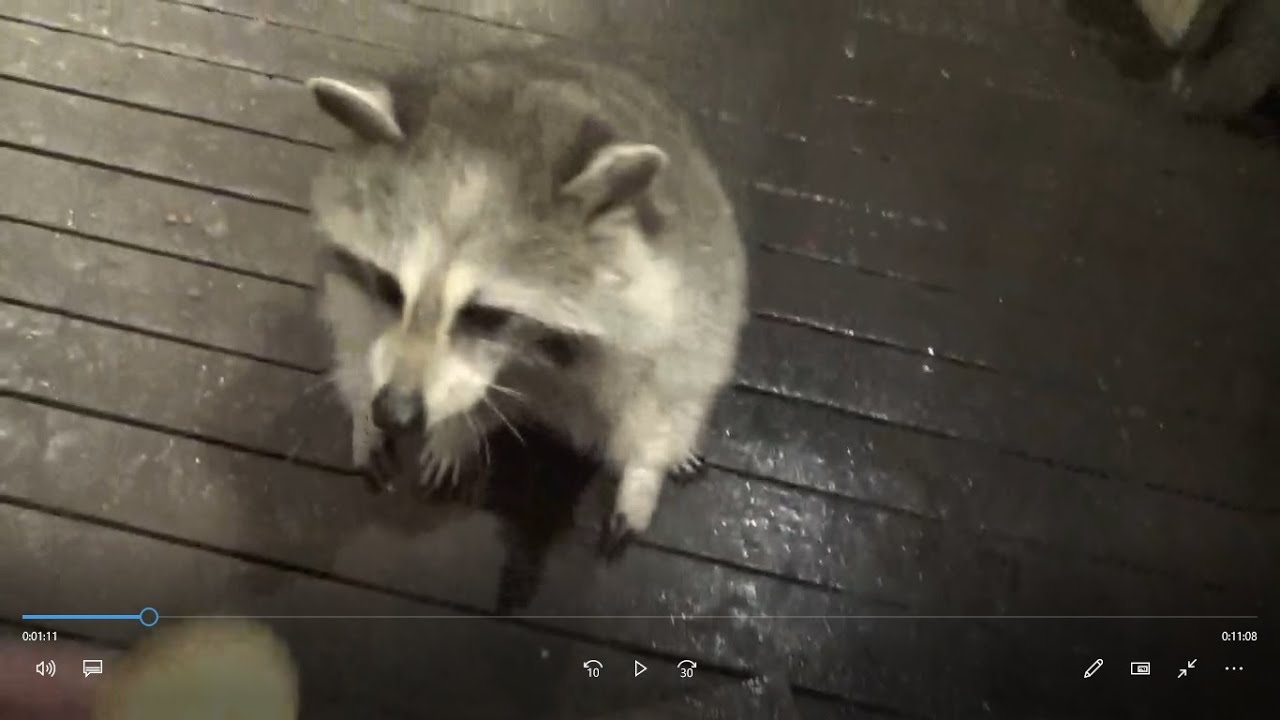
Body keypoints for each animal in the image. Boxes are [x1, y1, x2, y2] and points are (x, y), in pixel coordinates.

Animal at [305, 47, 748, 554]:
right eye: (389, 287)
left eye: (485, 313)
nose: (393, 413)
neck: (529, 355)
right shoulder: (355, 286)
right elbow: (361, 332)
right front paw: (435, 426)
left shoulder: (680, 290)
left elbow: (663, 386)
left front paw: (642, 474)